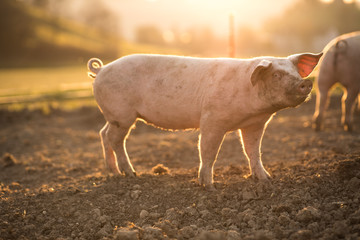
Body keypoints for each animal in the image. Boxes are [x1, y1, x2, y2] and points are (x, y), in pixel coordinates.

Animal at [88, 52, 324, 188]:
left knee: (103, 134)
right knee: (114, 139)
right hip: (122, 115)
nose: (305, 83)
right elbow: (208, 151)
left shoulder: (255, 124)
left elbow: (253, 151)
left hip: (114, 116)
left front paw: (266, 180)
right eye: (276, 75)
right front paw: (208, 186)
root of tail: (101, 69)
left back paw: (114, 173)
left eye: (296, 72)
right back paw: (131, 174)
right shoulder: (212, 119)